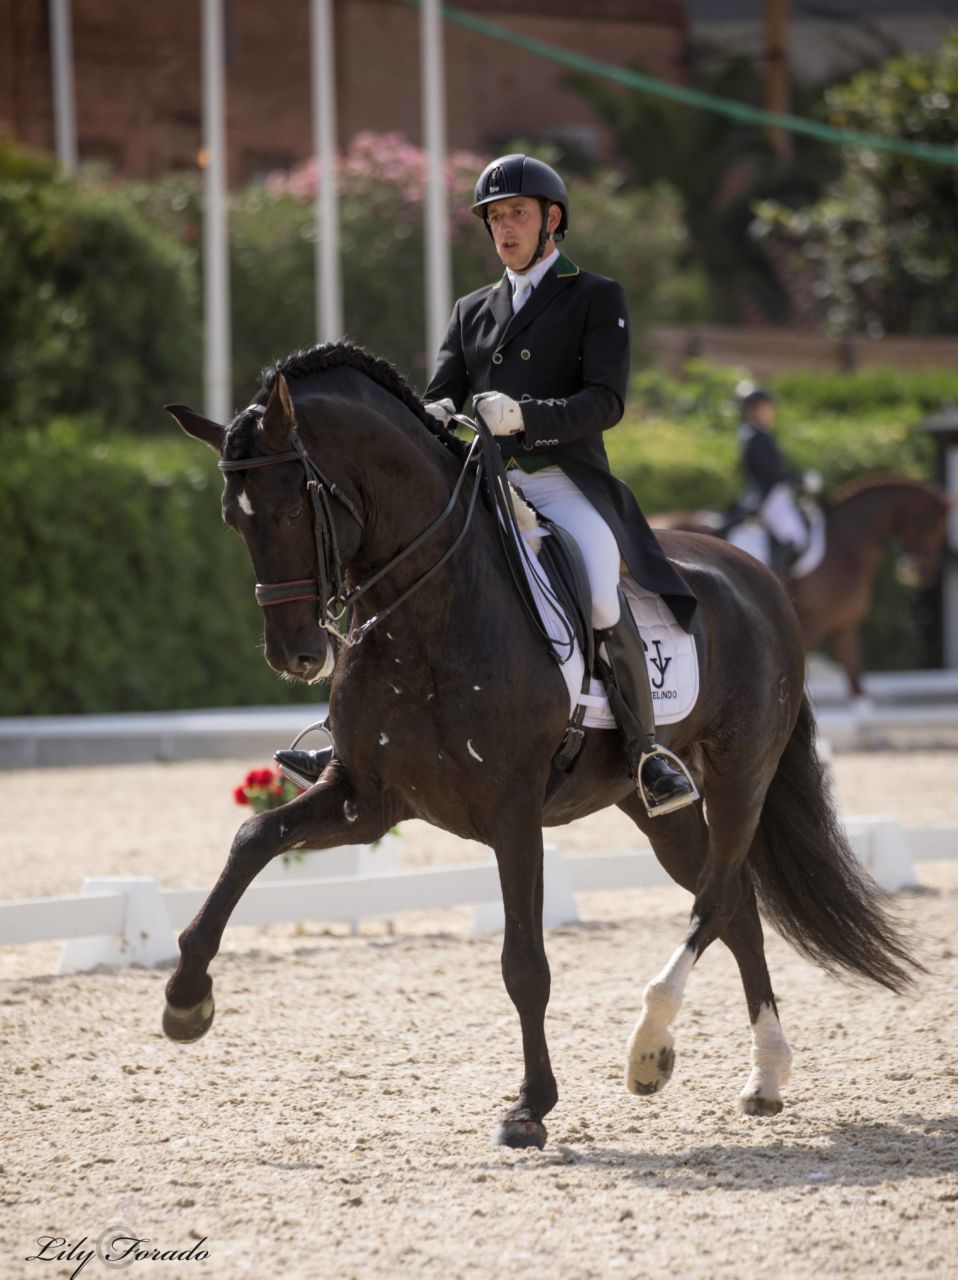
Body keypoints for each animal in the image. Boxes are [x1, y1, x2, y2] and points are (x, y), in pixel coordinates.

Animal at [650, 481, 952, 701]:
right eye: (934, 526)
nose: (923, 573)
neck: (845, 544)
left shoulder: (844, 628)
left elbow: (857, 682)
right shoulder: (810, 629)